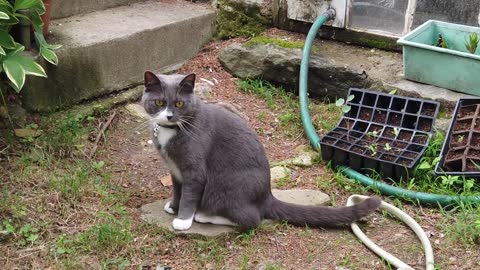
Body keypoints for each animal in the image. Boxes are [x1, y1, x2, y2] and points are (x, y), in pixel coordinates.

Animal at [141, 71, 380, 230]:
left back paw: (205, 216)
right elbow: (178, 190)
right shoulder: (175, 171)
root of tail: (267, 195)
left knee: (251, 219)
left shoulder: (194, 170)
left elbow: (189, 195)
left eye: (179, 104)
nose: (169, 115)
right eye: (159, 102)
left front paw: (183, 220)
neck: (170, 131)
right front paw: (173, 206)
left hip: (225, 186)